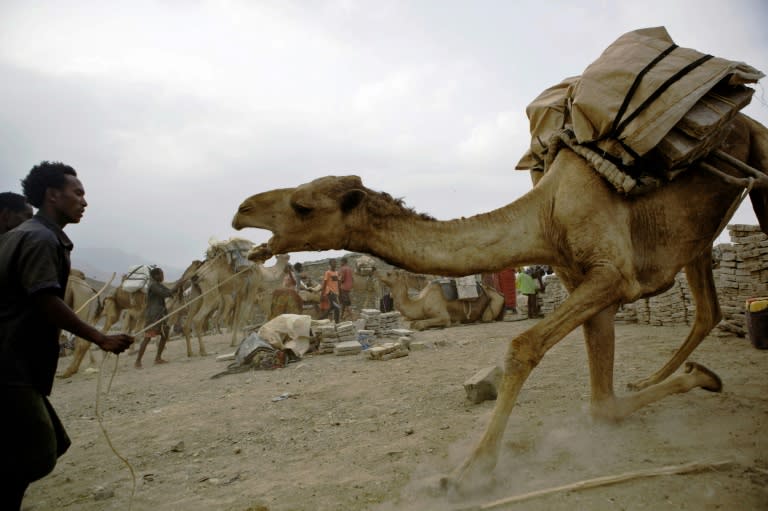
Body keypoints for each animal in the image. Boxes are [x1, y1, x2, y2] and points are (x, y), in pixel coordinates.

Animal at [232, 113, 768, 492]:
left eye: (302, 205)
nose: (241, 210)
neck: (544, 216)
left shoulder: (613, 273)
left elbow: (522, 347)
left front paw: (468, 474)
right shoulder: (586, 279)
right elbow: (602, 406)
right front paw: (702, 377)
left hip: (760, 165)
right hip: (697, 235)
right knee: (707, 309)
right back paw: (664, 374)